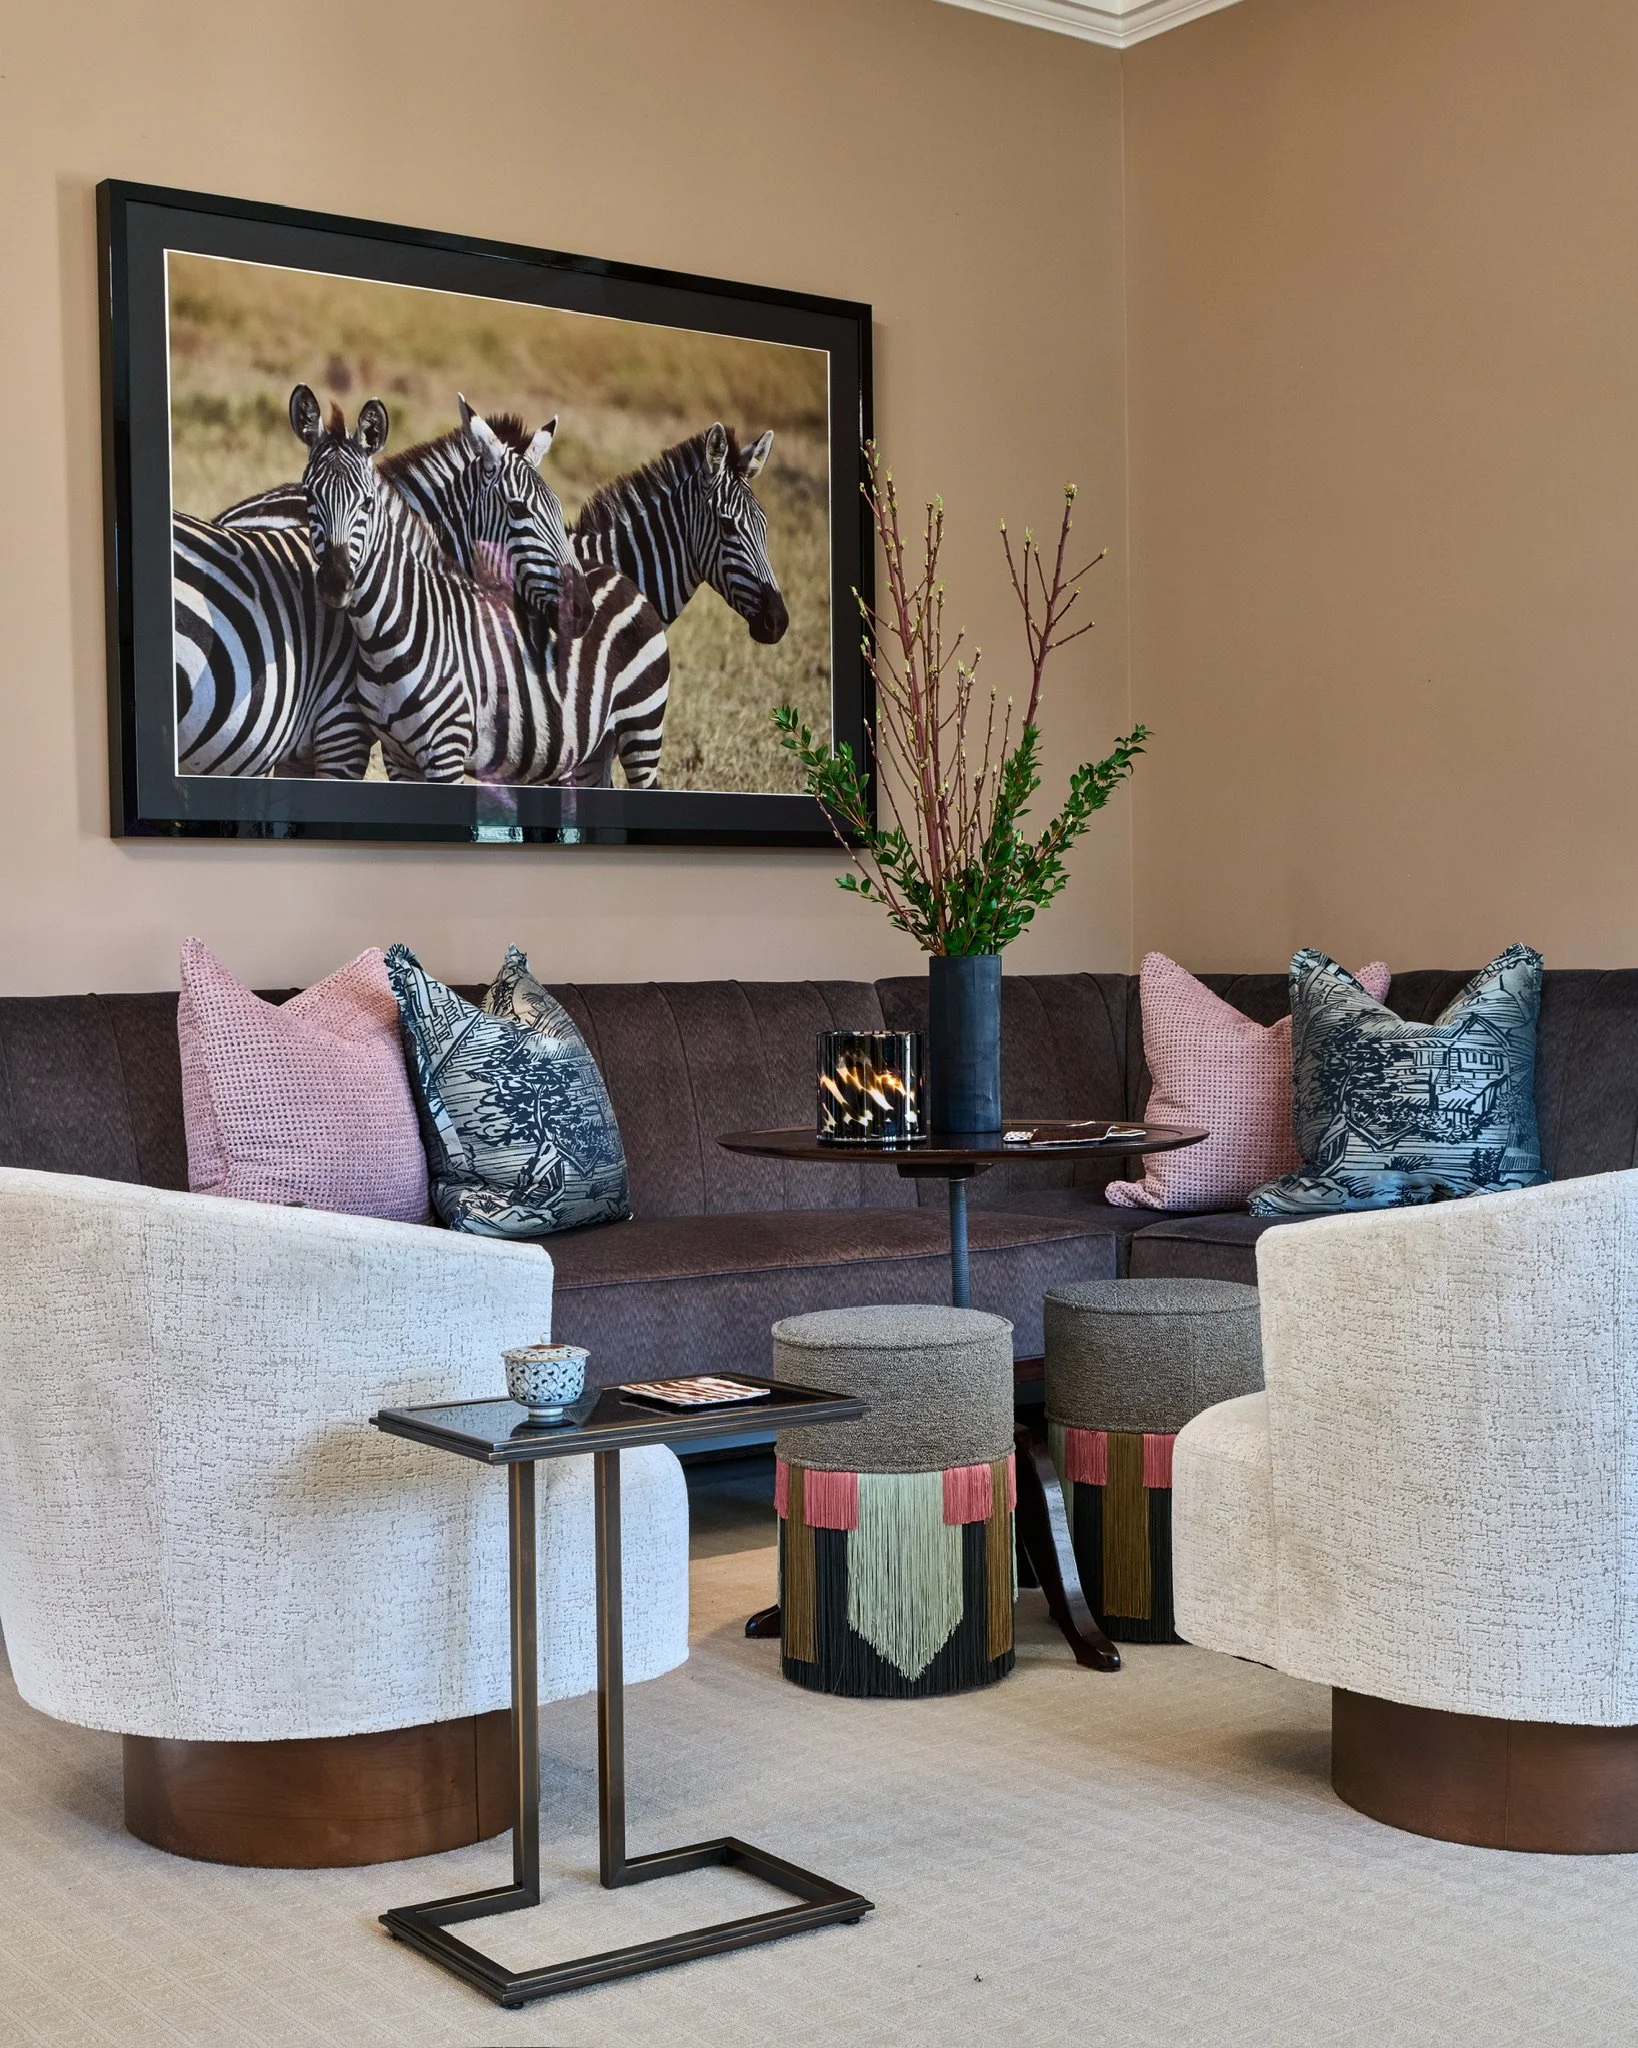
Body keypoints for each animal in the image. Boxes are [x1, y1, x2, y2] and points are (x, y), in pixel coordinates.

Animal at [292, 387, 669, 787]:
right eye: (309, 497)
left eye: (366, 503)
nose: (335, 582)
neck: (387, 639)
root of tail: (621, 577)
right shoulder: (398, 756)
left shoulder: (446, 753)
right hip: (596, 746)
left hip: (643, 728)